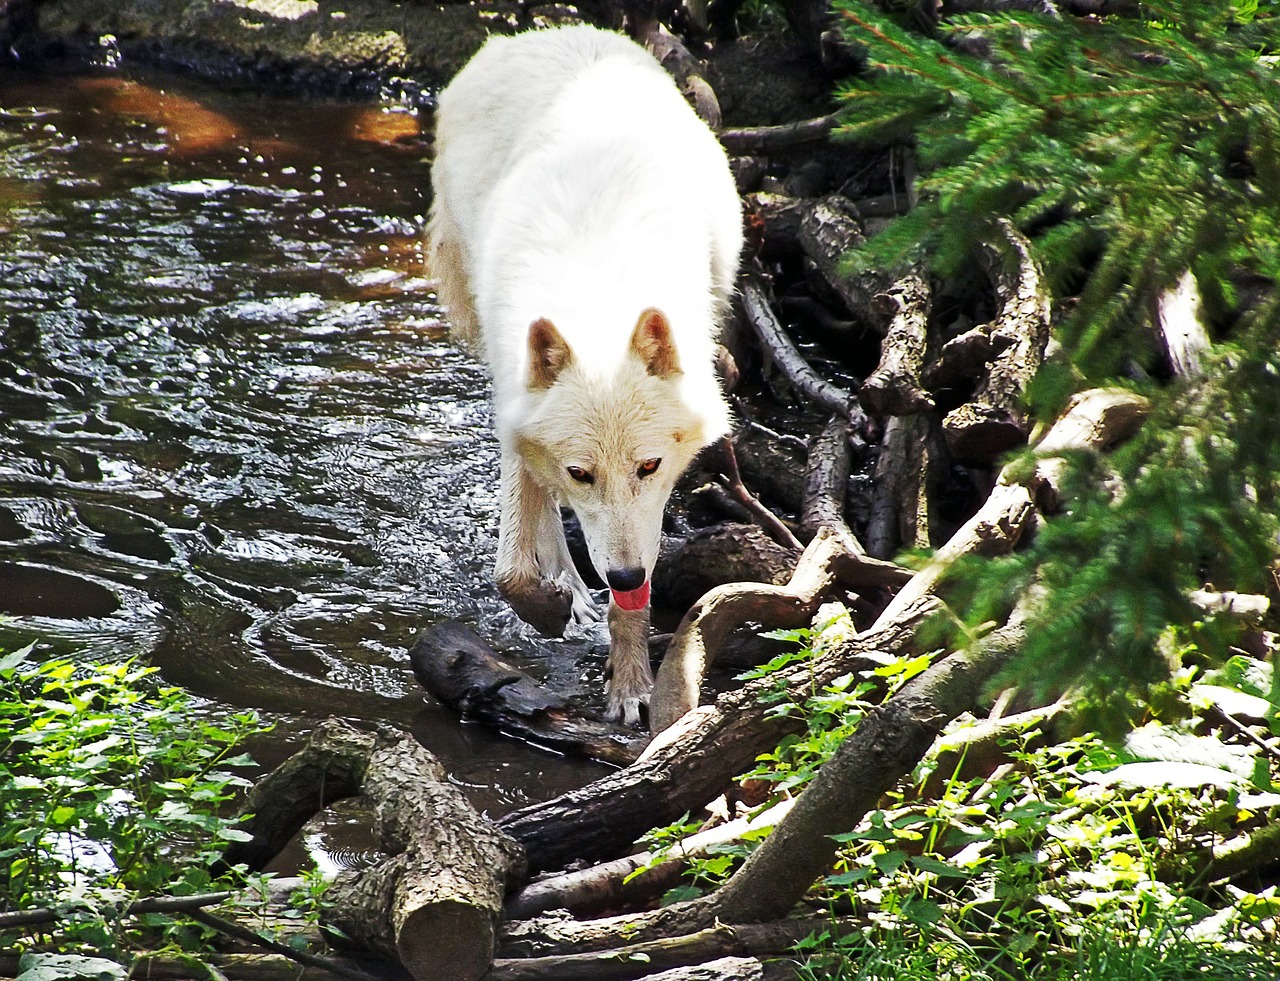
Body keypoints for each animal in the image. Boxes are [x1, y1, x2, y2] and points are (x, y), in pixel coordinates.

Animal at [430, 26, 747, 727]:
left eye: (649, 466)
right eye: (582, 472)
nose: (621, 579)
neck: (597, 295)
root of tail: (543, 34)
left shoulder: (644, 518)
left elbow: (640, 589)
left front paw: (631, 687)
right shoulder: (516, 417)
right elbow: (513, 568)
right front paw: (554, 608)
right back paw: (570, 596)